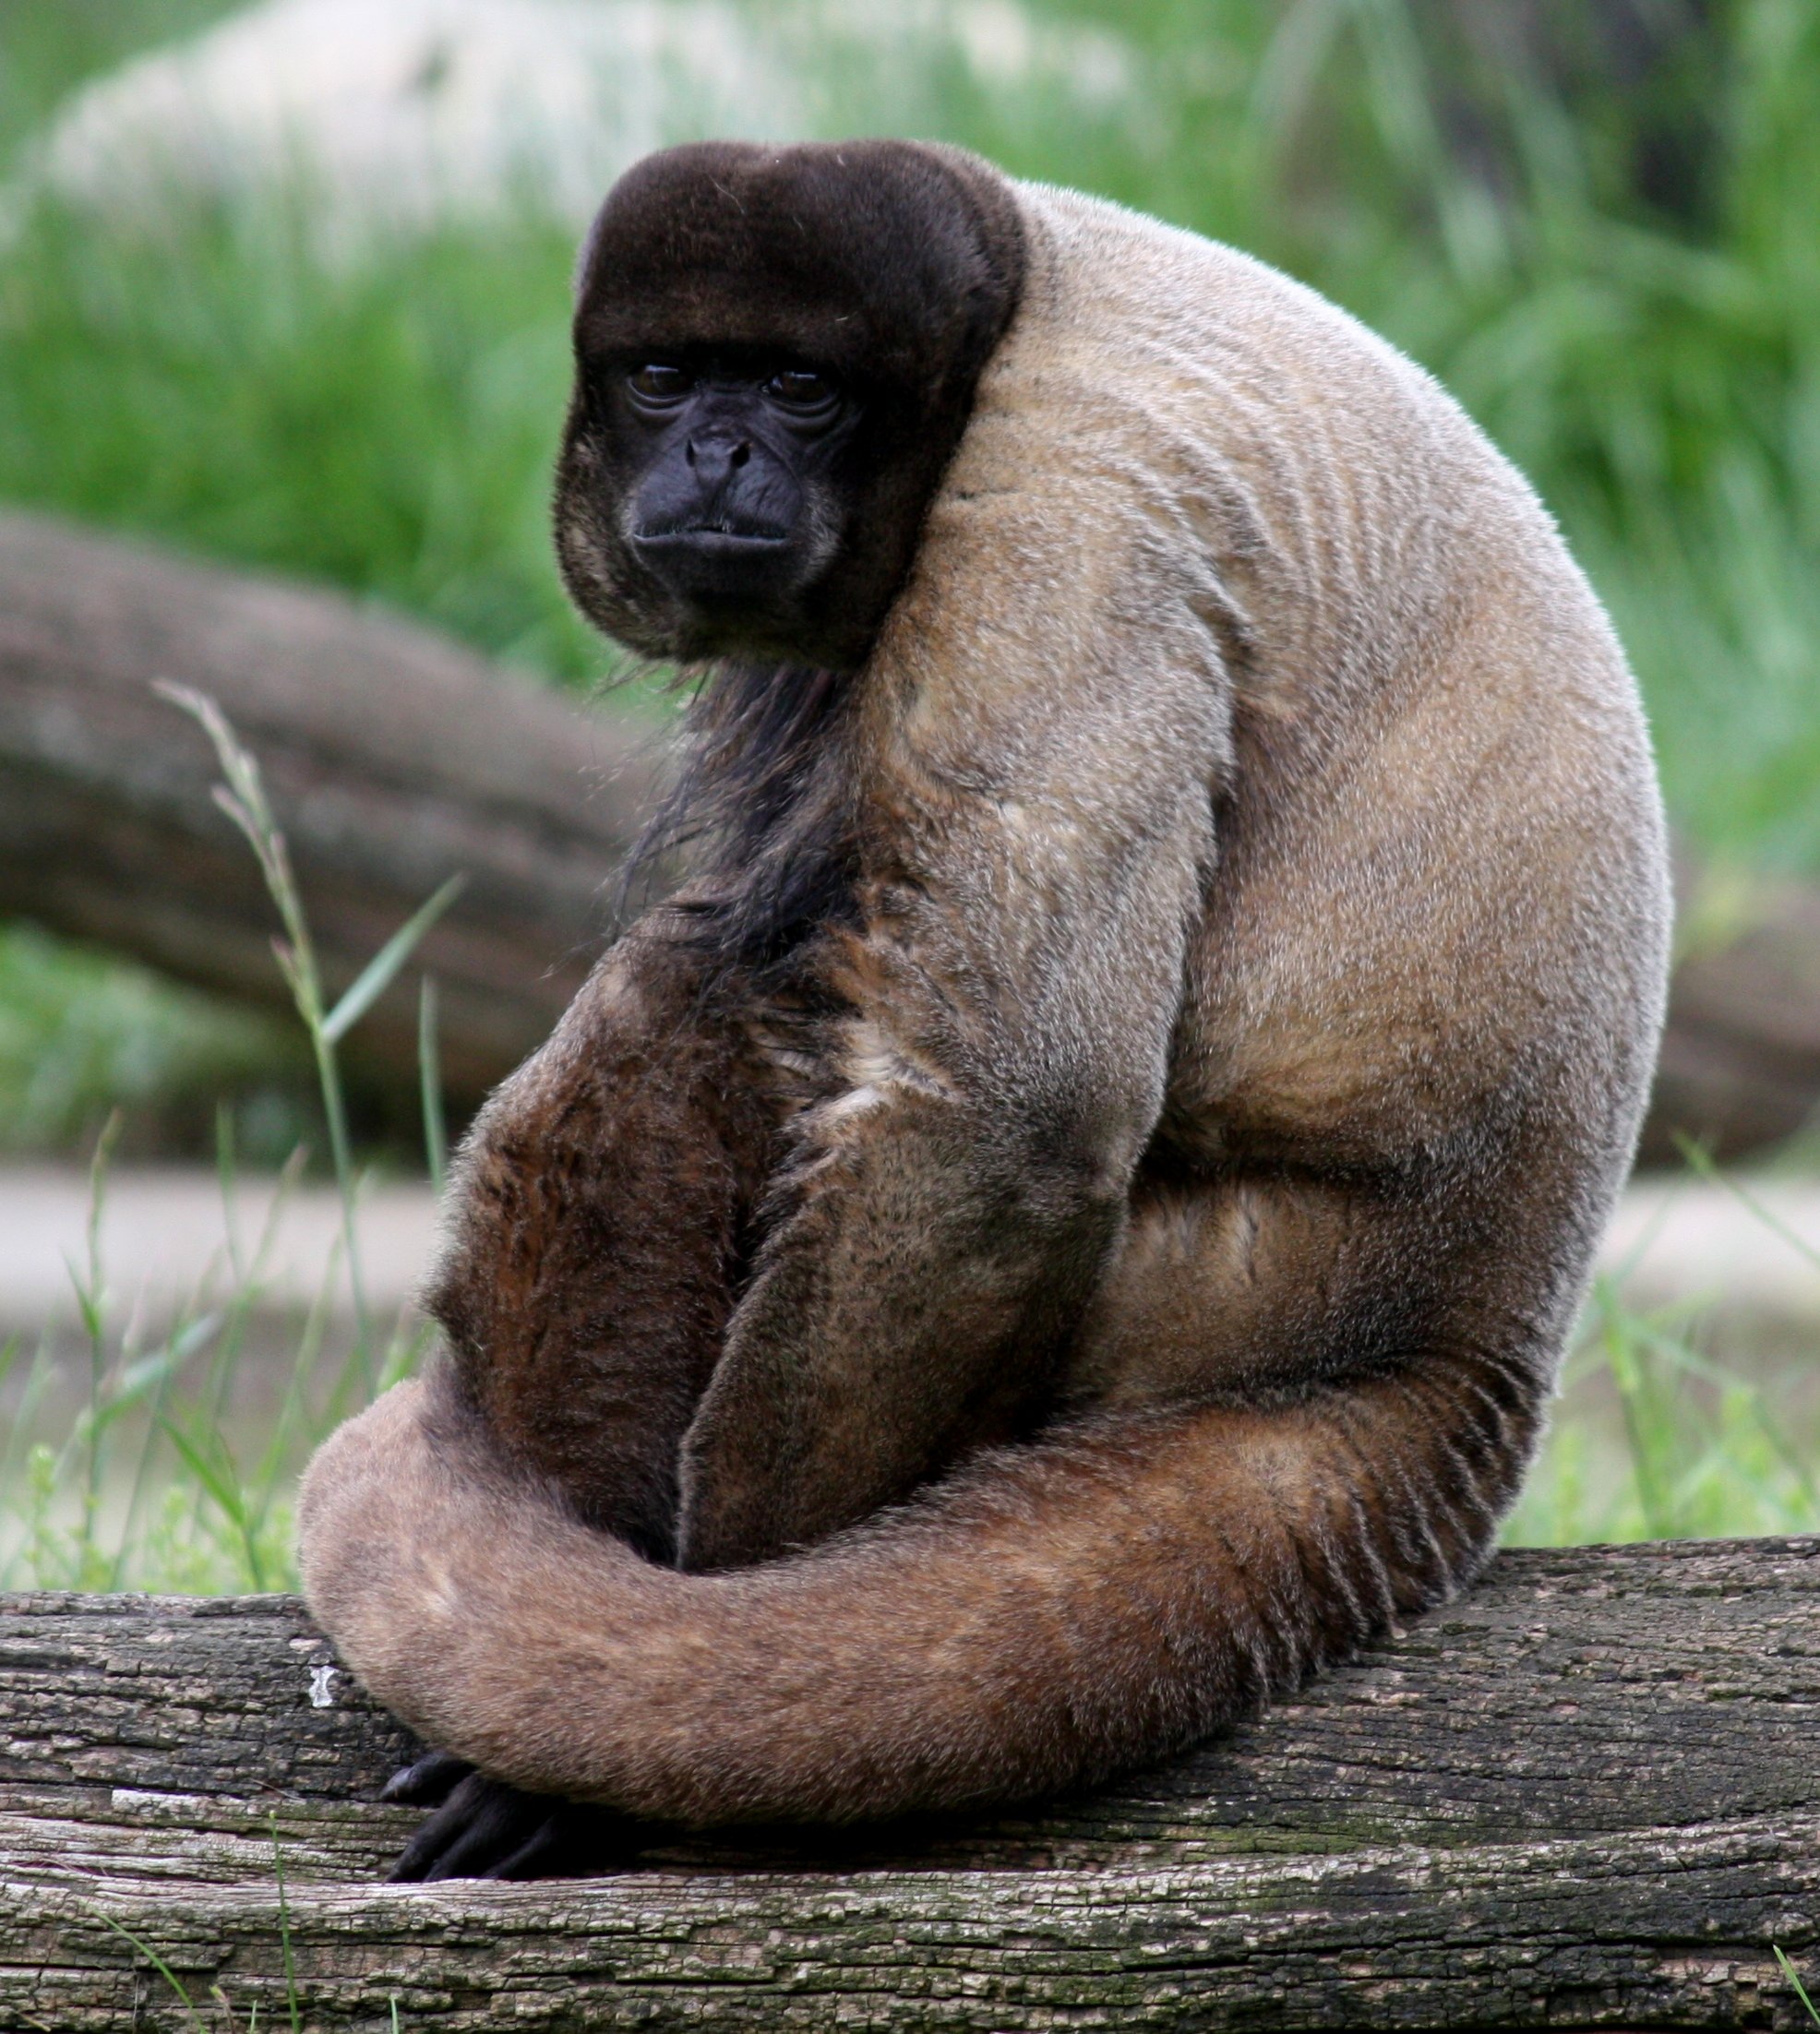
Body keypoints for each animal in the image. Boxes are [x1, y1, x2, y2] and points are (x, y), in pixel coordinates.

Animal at [297, 138, 1671, 1882]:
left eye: (801, 391)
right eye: (667, 378)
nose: (721, 453)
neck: (1018, 284)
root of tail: (1466, 1353)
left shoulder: (1055, 529)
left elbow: (1013, 1118)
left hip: (1196, 1291)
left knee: (749, 1027)